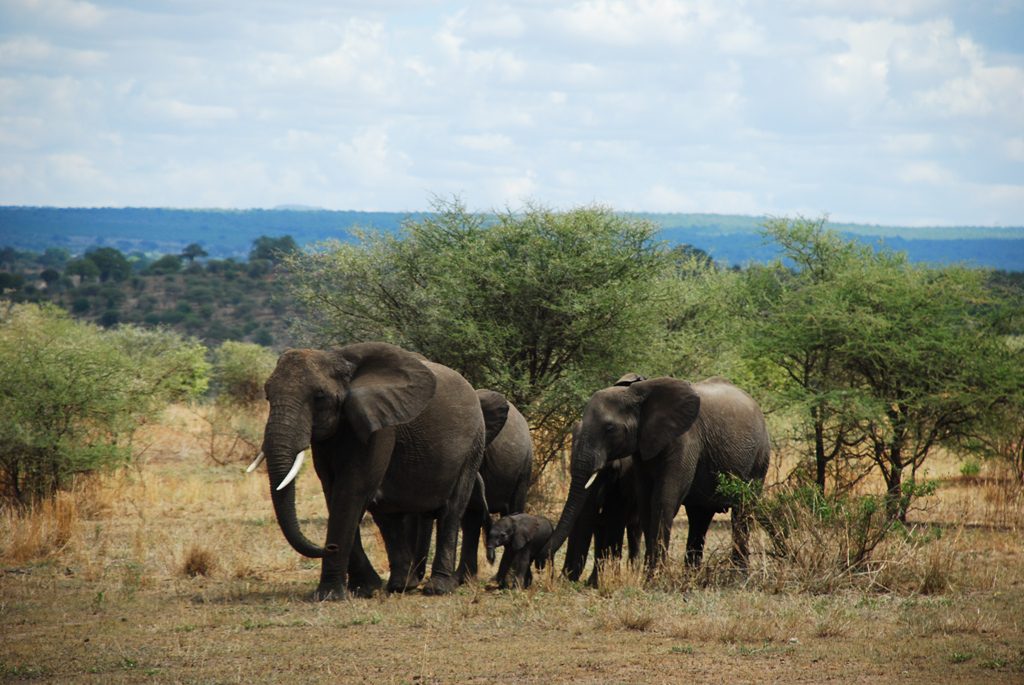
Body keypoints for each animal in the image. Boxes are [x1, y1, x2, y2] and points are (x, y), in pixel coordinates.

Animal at [262, 341, 489, 597]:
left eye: (319, 396)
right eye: (267, 395)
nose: (329, 546)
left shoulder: (380, 428)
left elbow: (352, 489)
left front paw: (331, 595)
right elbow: (333, 491)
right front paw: (364, 589)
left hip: (472, 446)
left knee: (451, 509)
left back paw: (437, 588)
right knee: (388, 515)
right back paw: (402, 585)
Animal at [544, 374, 770, 573]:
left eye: (609, 428)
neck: (638, 392)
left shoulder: (685, 439)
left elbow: (664, 499)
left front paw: (653, 578)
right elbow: (646, 502)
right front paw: (648, 574)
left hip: (759, 459)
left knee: (742, 512)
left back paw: (738, 576)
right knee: (699, 517)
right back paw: (690, 577)